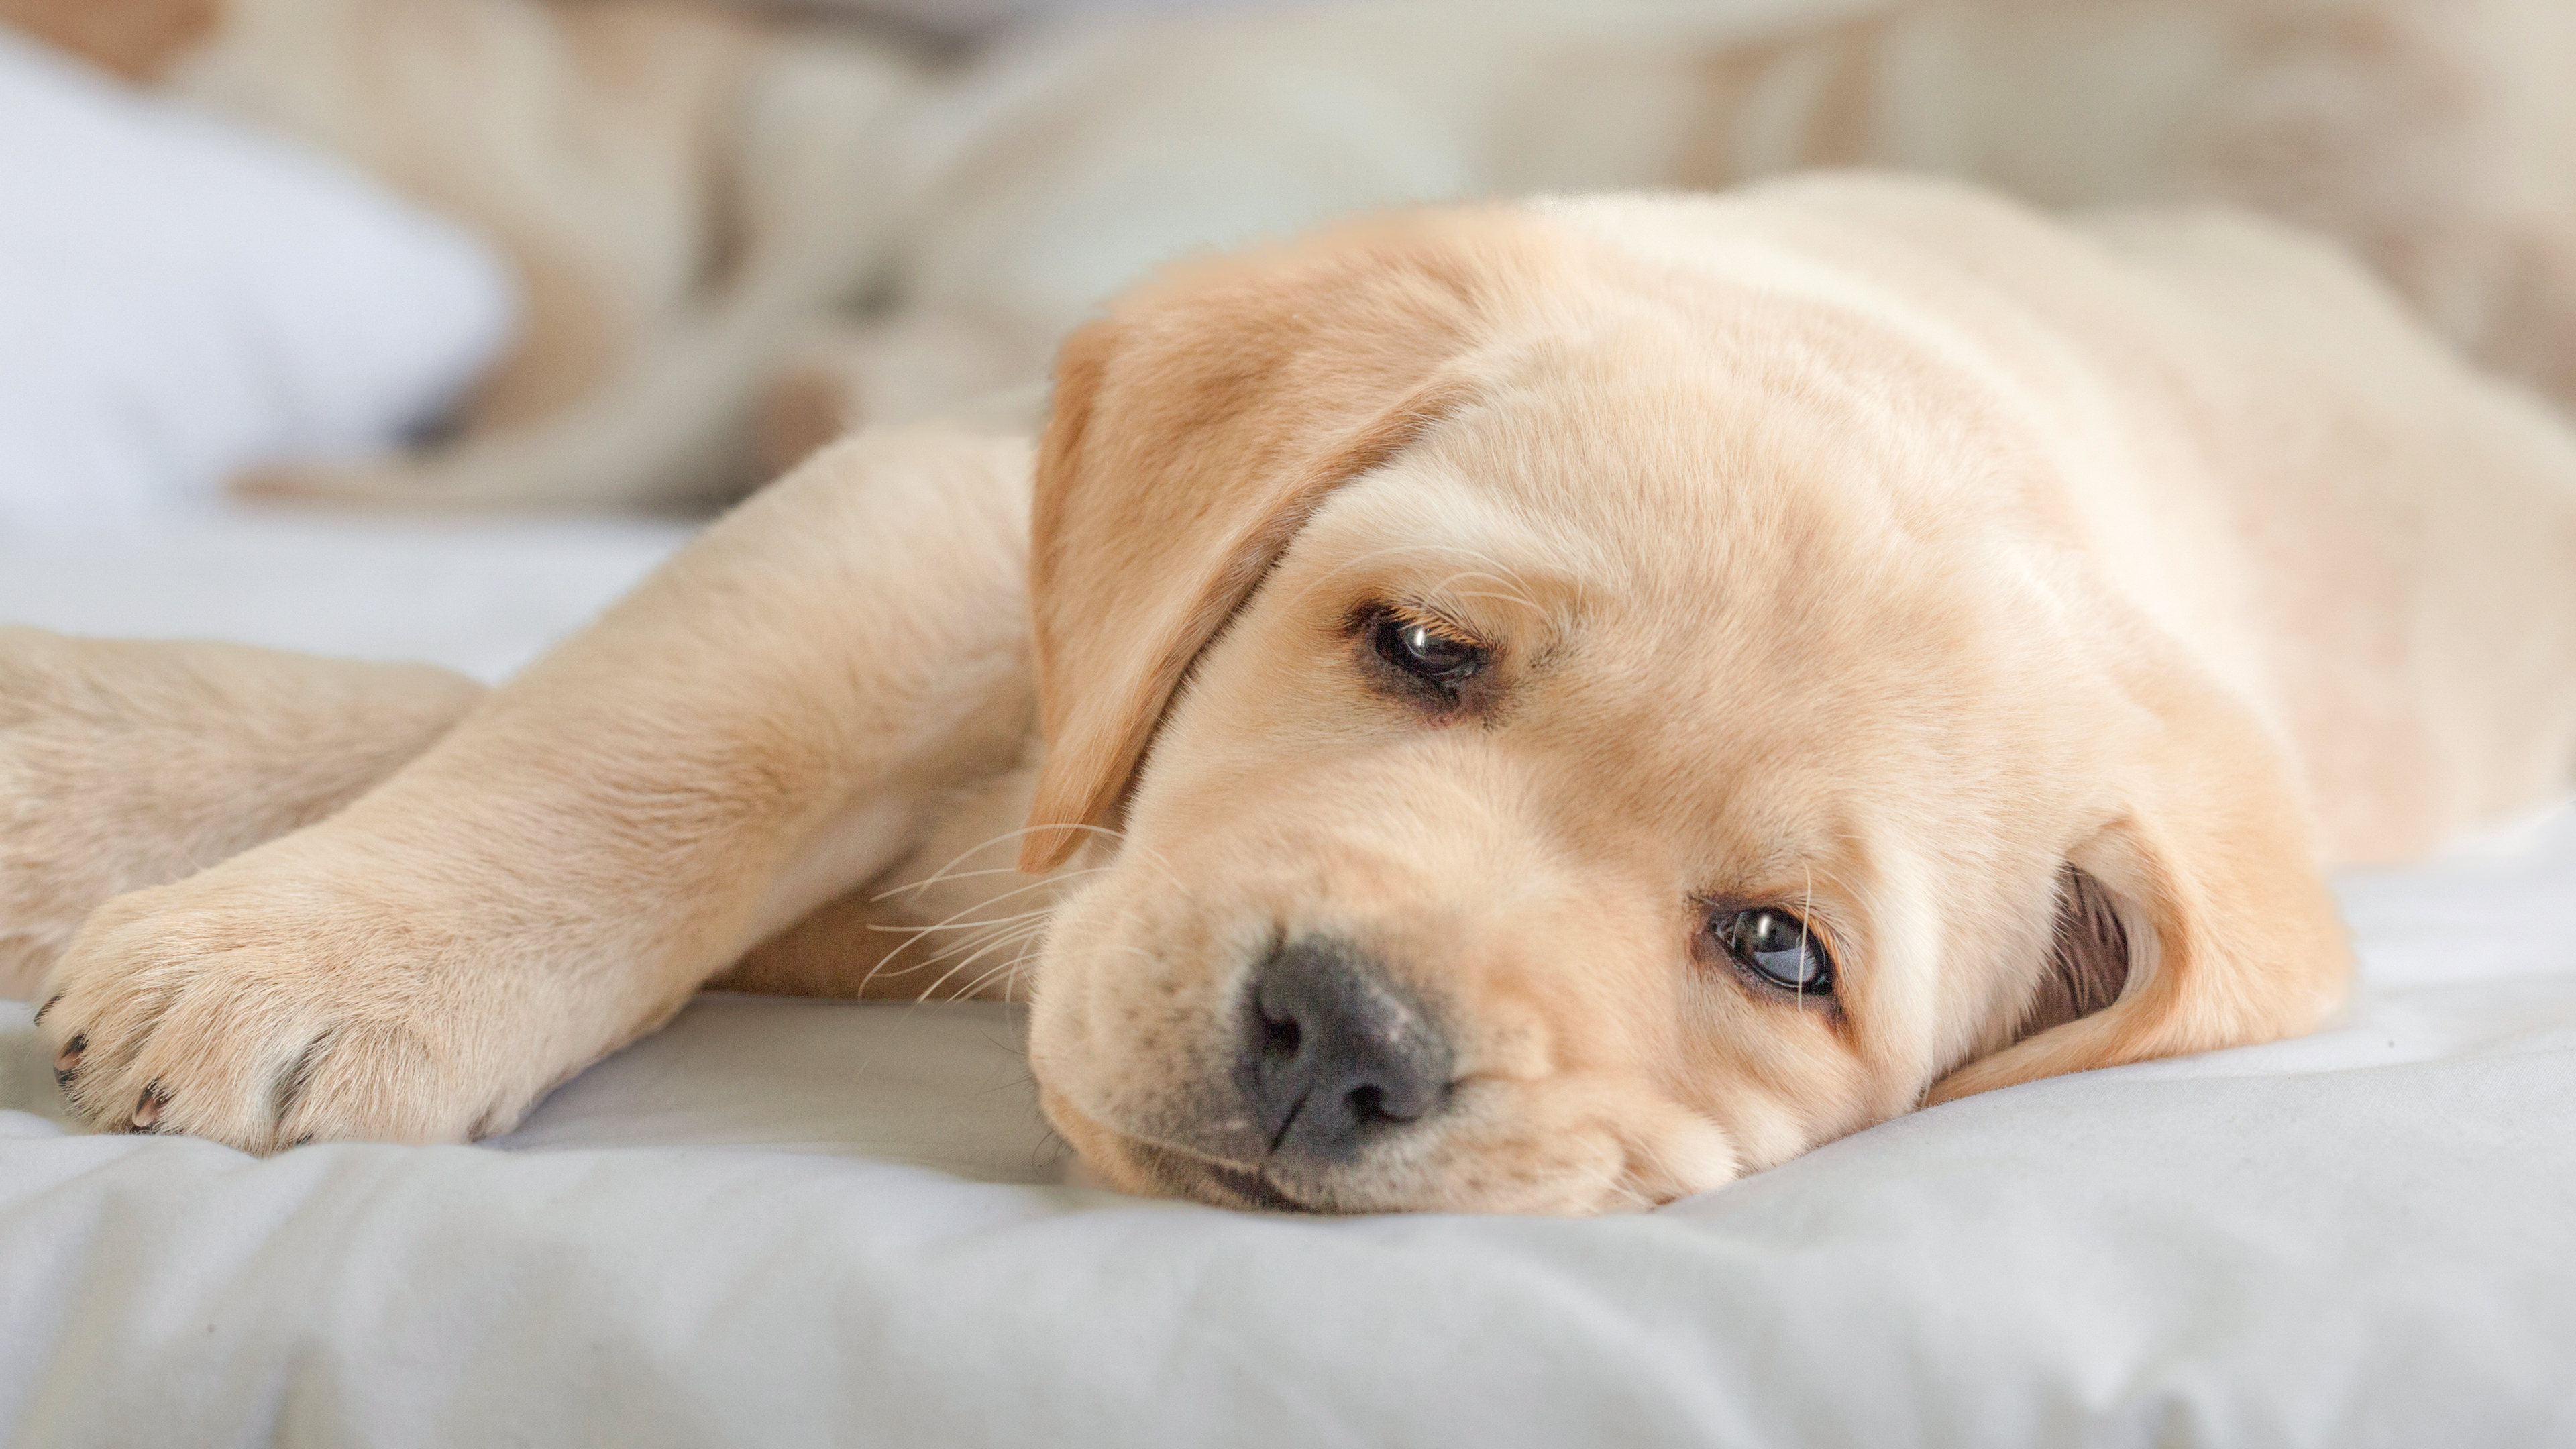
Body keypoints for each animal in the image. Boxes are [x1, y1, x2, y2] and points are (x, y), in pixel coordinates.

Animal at [15, 171, 2576, 1206]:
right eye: (1422, 651)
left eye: (1778, 953)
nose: (1343, 1039)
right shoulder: (948, 527)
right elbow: (618, 728)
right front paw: (290, 931)